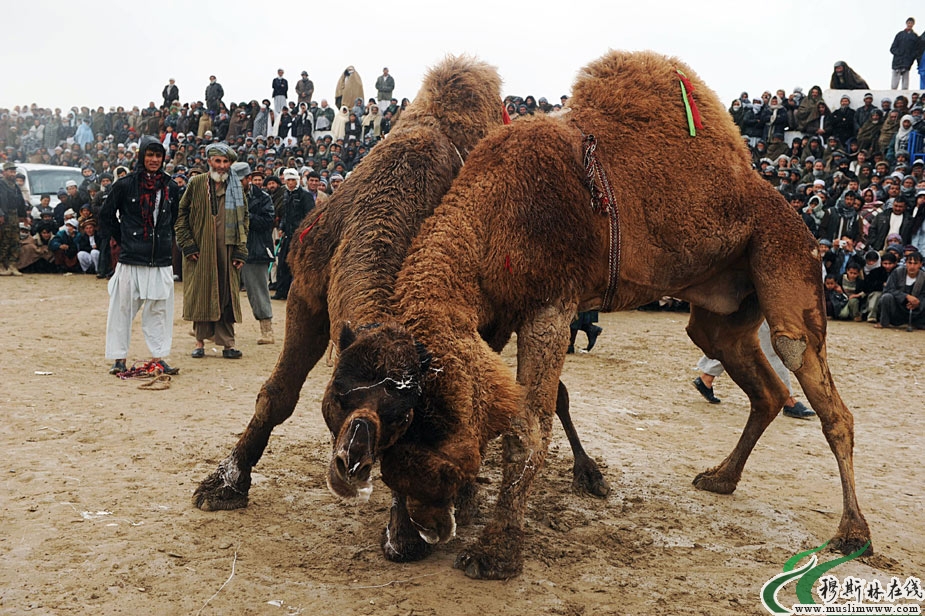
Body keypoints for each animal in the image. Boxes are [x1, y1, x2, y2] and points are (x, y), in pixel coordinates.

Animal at [192, 53, 608, 528]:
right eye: (337, 393)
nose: (352, 463)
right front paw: (224, 483)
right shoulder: (307, 293)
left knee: (551, 395)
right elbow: (278, 395)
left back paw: (587, 473)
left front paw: (416, 520)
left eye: (404, 414)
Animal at [324, 50, 872, 580]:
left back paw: (852, 534)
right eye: (392, 454)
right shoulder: (496, 313)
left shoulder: (550, 303)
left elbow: (528, 428)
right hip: (724, 307)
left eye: (435, 457)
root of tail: (791, 211)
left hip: (786, 256)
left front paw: (496, 552)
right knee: (760, 382)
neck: (493, 214)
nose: (431, 527)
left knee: (816, 383)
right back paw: (721, 478)